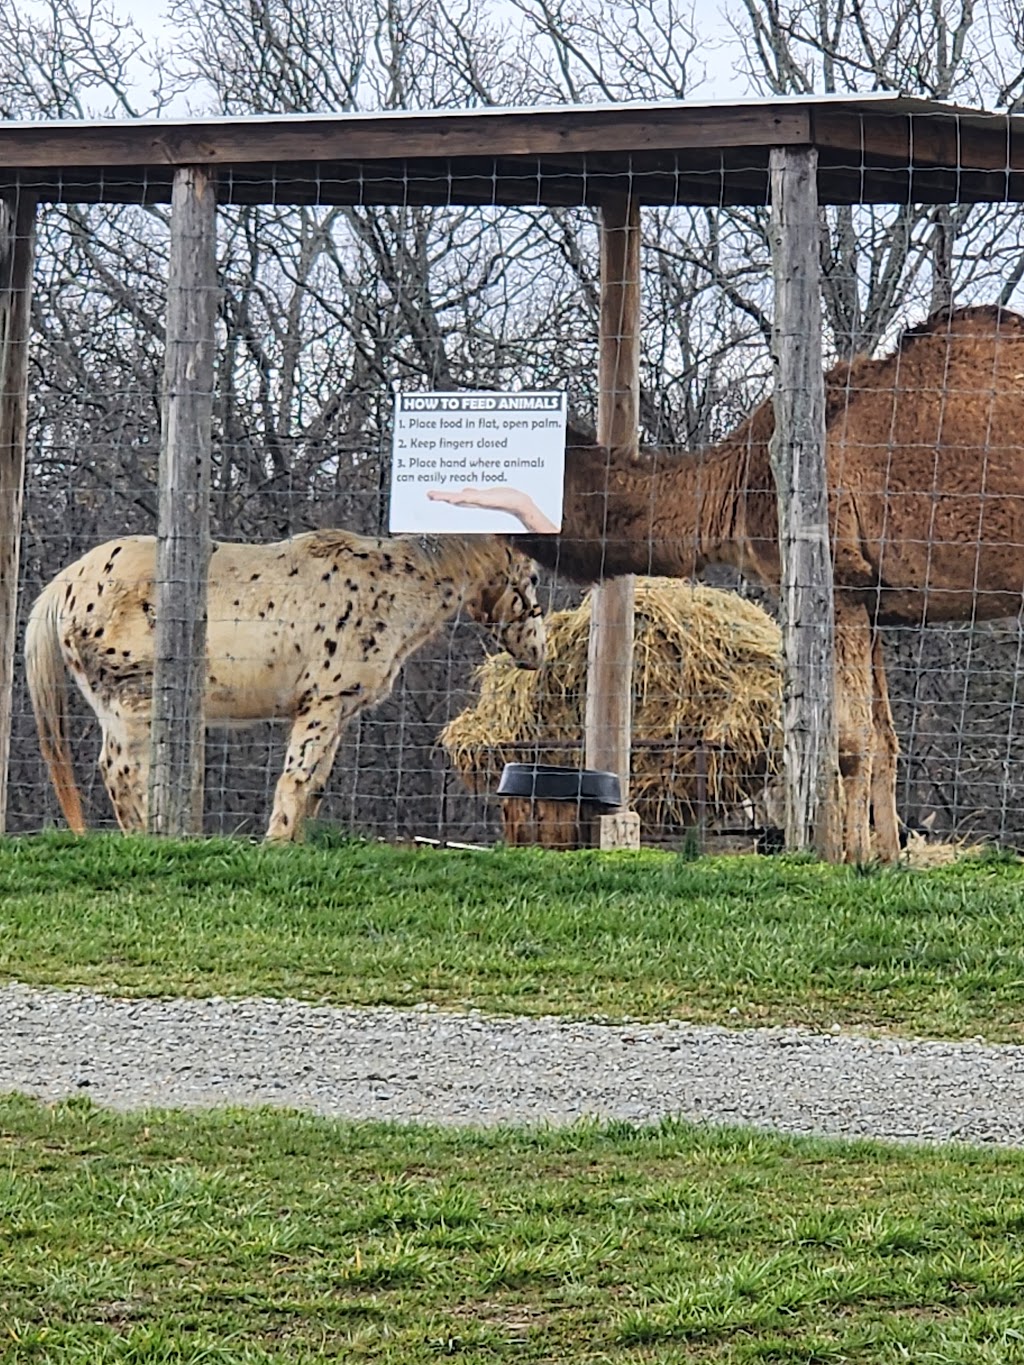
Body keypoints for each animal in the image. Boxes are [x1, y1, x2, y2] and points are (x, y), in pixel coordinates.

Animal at [26, 526, 546, 835]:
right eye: (534, 577)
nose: (537, 654)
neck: (393, 584)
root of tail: (66, 584)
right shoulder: (323, 705)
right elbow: (296, 780)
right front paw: (274, 843)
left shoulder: (339, 714)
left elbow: (314, 786)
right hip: (130, 707)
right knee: (121, 772)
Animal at [516, 307, 1024, 862]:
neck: (737, 482)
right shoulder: (872, 602)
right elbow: (885, 738)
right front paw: (888, 861)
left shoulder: (840, 583)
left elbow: (851, 742)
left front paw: (854, 862)